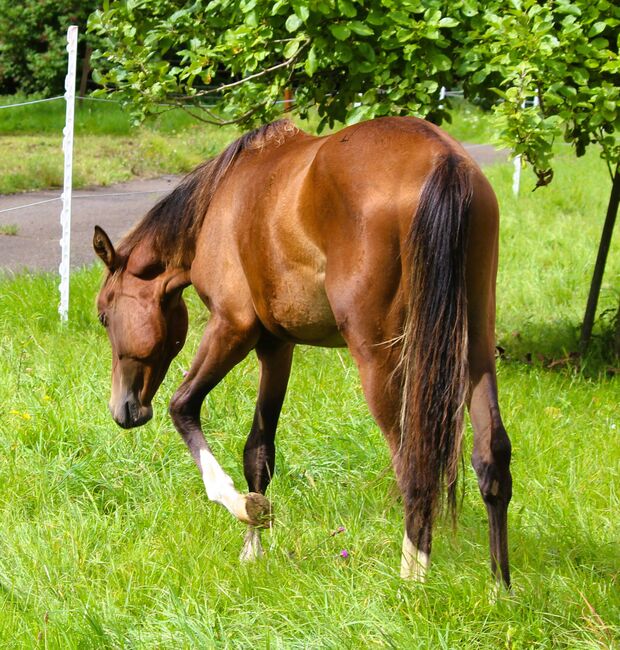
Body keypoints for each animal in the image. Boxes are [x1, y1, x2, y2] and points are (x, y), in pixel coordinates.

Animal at [94, 116, 512, 588]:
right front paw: (252, 550)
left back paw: (412, 579)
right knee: (492, 457)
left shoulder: (232, 328)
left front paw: (242, 507)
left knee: (412, 464)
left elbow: (183, 407)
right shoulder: (276, 346)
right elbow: (259, 453)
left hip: (380, 361)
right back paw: (500, 589)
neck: (218, 206)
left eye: (104, 316)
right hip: (474, 350)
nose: (123, 409)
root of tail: (443, 160)